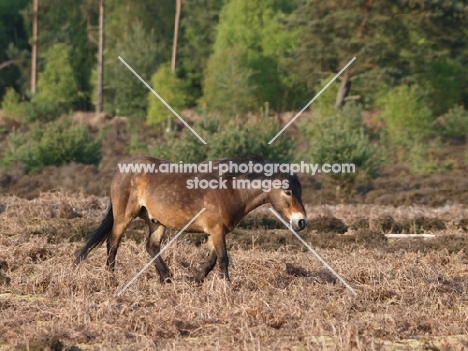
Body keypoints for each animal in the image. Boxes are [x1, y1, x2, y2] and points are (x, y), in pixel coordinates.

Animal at [76, 157, 308, 284]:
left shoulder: (215, 232)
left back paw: (167, 277)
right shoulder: (216, 230)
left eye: (300, 191)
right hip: (124, 216)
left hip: (156, 222)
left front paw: (194, 280)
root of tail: (121, 170)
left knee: (151, 246)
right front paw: (228, 286)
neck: (230, 191)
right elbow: (223, 259)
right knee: (113, 243)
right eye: (288, 191)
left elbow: (211, 260)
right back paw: (111, 276)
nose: (301, 221)